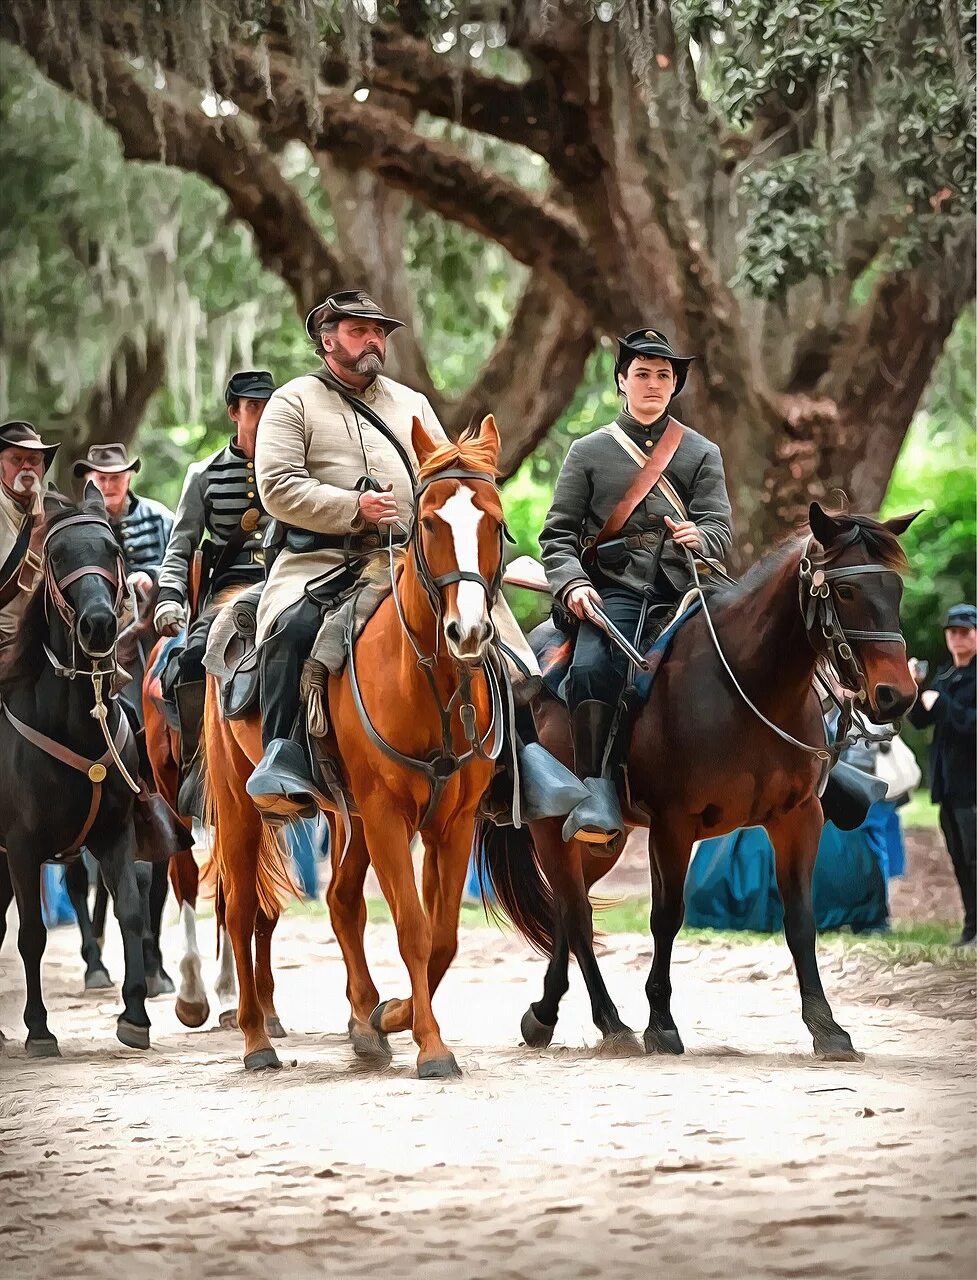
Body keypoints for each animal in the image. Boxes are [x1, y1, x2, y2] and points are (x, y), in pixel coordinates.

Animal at [0, 483, 151, 1054]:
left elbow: (129, 908)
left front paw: (136, 1013)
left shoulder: (115, 834)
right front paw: (39, 1028)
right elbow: (32, 935)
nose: (99, 625)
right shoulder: (22, 847)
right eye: (59, 557)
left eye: (112, 551)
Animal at [207, 414, 507, 1075]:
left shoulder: (452, 821)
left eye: (495, 522)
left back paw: (365, 1021)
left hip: (349, 818)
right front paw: (431, 1046)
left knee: (343, 900)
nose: (469, 631)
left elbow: (443, 936)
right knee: (241, 910)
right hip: (242, 802)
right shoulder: (388, 812)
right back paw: (255, 1039)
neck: (429, 681)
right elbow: (414, 929)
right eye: (429, 522)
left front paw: (390, 1017)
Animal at [486, 506, 921, 1059]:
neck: (751, 685)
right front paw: (660, 1022)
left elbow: (801, 921)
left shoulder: (798, 818)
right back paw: (612, 1023)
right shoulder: (673, 826)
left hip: (603, 840)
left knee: (568, 907)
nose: (896, 696)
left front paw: (826, 1027)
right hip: (553, 827)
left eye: (895, 589)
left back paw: (544, 1014)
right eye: (844, 591)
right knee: (578, 915)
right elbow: (666, 917)